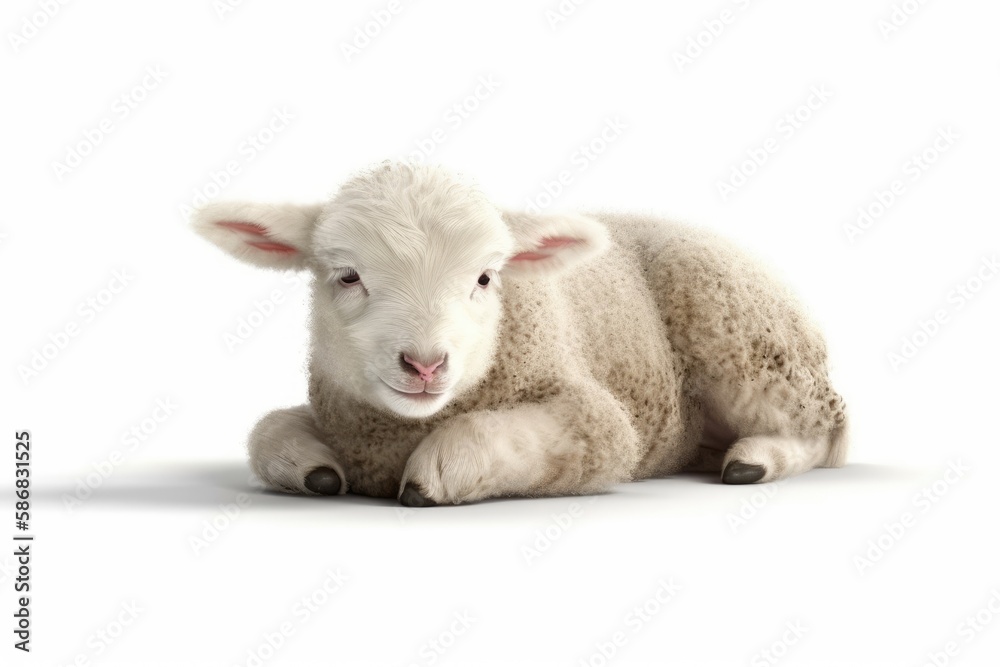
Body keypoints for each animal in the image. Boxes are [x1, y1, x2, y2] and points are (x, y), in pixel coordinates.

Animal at [194, 161, 848, 506]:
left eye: (486, 278)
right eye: (348, 276)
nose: (425, 365)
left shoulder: (597, 424)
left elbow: (485, 434)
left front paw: (434, 475)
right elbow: (268, 431)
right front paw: (316, 470)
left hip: (749, 341)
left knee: (828, 430)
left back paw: (755, 461)